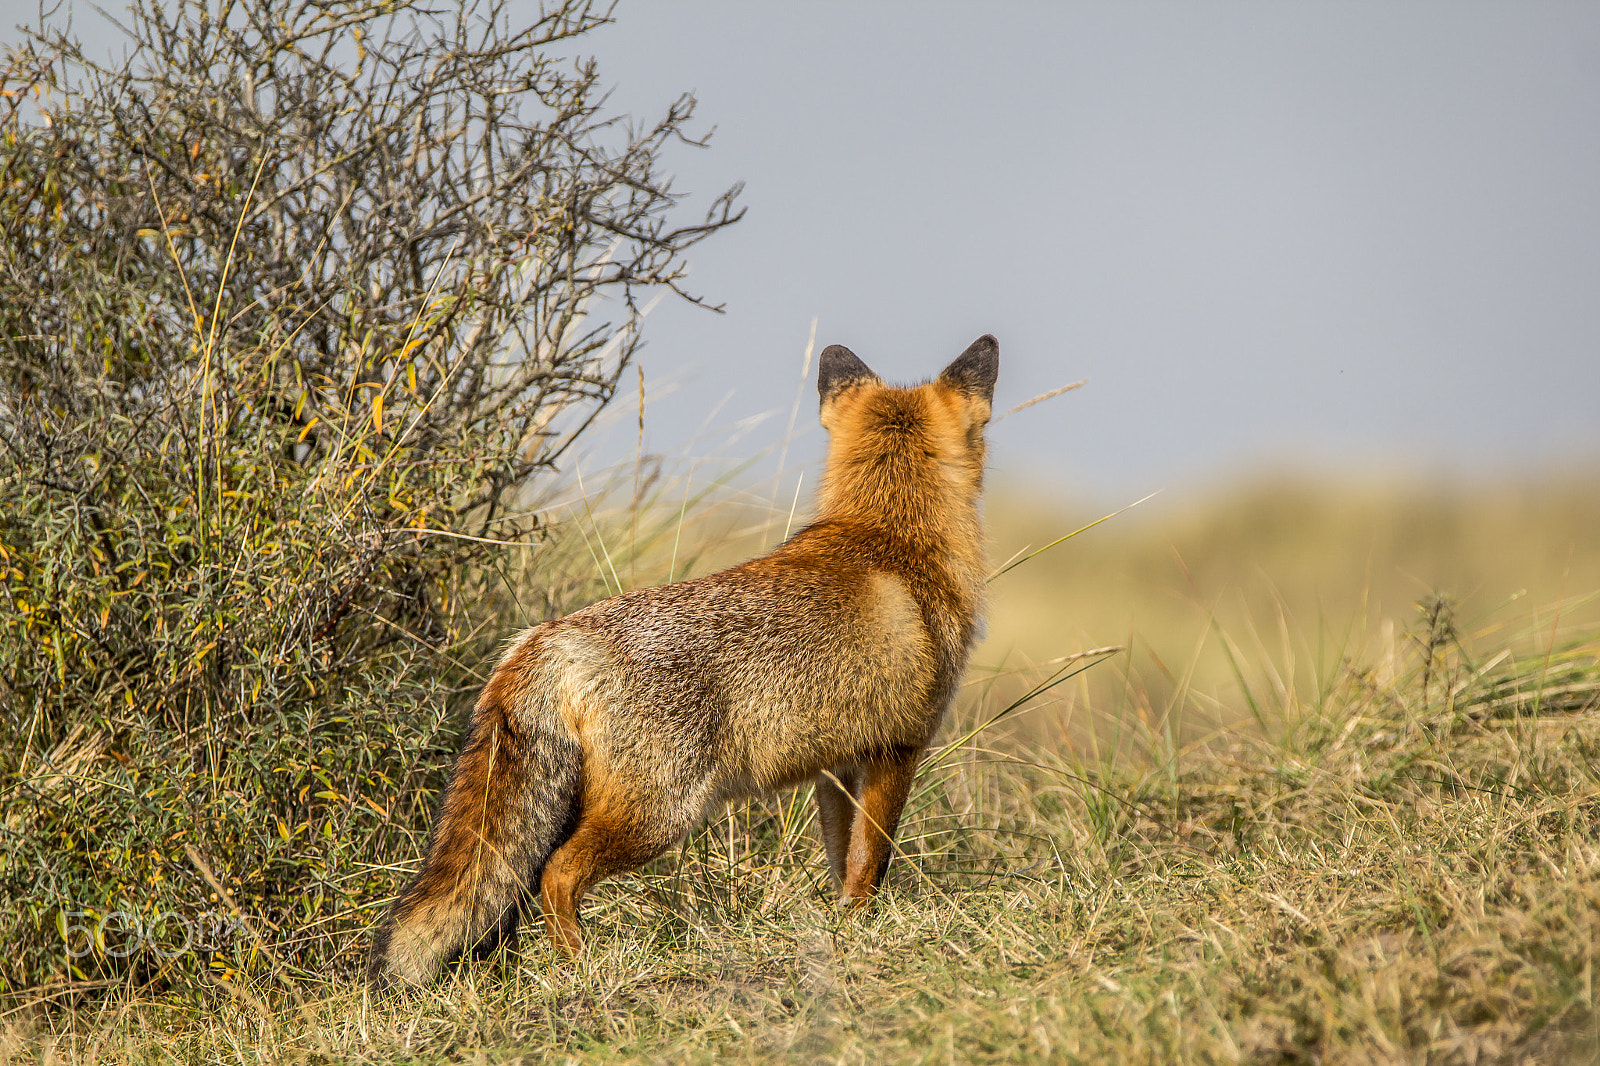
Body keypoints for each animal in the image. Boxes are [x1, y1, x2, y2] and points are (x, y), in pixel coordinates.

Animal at [367, 334, 999, 992]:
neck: (892, 535)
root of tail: (546, 638)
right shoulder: (899, 749)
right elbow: (870, 862)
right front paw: (861, 927)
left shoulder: (838, 765)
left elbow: (840, 862)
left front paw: (843, 924)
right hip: (663, 812)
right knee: (556, 874)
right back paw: (582, 968)